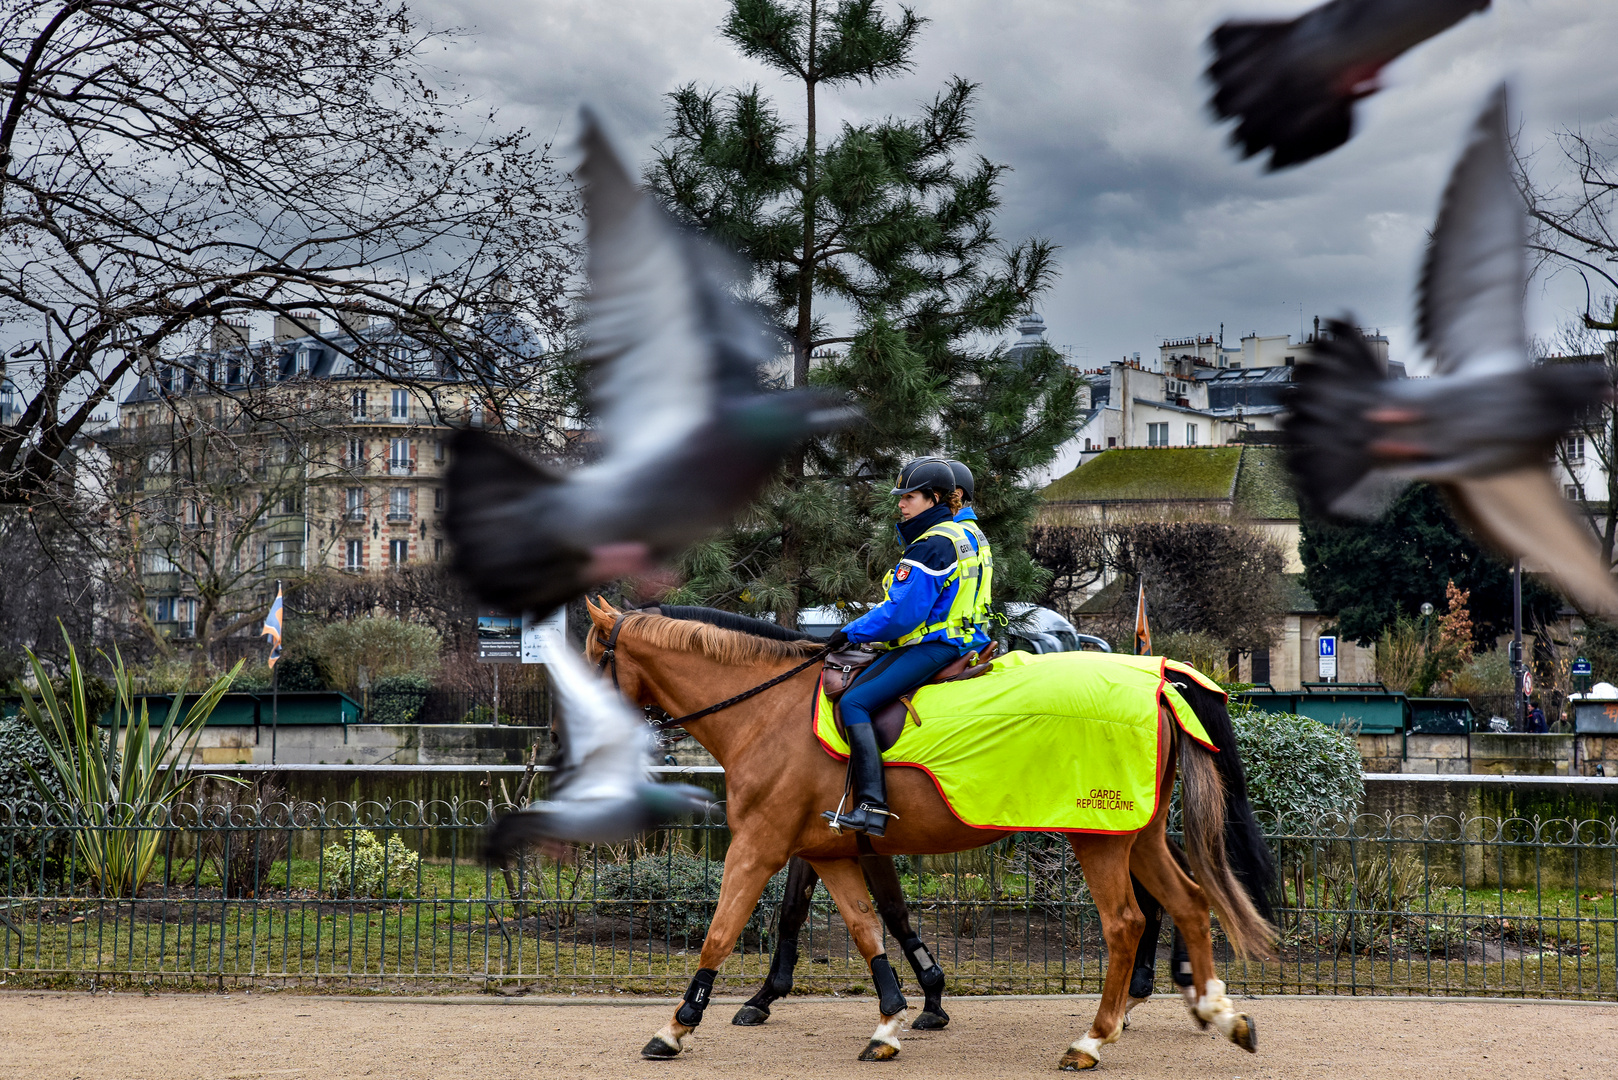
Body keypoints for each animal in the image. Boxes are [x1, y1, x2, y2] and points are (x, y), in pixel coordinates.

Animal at [582, 599, 1274, 1075]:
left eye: (592, 662)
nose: (575, 734)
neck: (769, 711)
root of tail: (1157, 675)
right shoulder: (831, 850)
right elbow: (865, 925)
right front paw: (891, 1019)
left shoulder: (759, 845)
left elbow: (724, 929)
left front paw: (678, 1026)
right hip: (1139, 834)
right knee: (1190, 901)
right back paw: (1215, 1010)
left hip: (1099, 837)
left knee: (1128, 923)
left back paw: (1095, 1037)